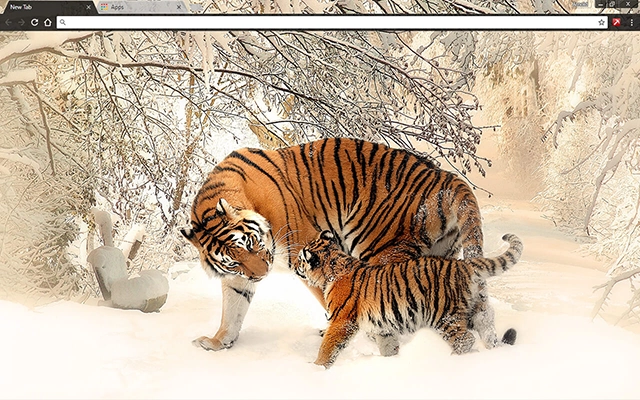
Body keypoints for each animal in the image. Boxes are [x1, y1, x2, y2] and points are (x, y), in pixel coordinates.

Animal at [181, 137, 494, 352]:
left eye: (250, 243)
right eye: (233, 260)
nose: (262, 274)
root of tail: (446, 177)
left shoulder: (305, 251)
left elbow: (331, 297)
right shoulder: (238, 277)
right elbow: (232, 309)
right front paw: (218, 342)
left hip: (381, 250)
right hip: (441, 256)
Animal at [295, 230, 523, 369]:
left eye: (300, 259)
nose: (295, 266)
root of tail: (464, 264)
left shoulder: (341, 321)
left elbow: (328, 347)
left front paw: (317, 368)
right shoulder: (382, 327)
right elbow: (388, 346)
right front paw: (392, 362)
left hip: (444, 316)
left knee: (465, 340)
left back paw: (453, 361)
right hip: (478, 310)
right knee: (488, 330)